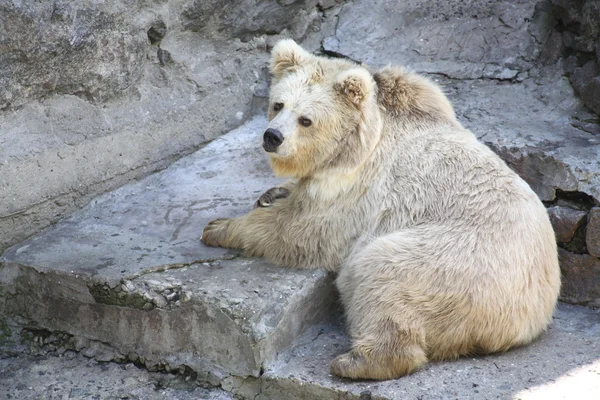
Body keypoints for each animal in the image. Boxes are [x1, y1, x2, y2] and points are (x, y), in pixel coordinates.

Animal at [203, 39, 564, 380]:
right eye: (278, 104)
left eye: (306, 119)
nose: (272, 136)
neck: (357, 144)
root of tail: (527, 319)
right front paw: (273, 193)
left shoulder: (353, 191)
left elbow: (296, 230)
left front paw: (219, 227)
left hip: (451, 262)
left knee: (379, 276)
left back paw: (355, 362)